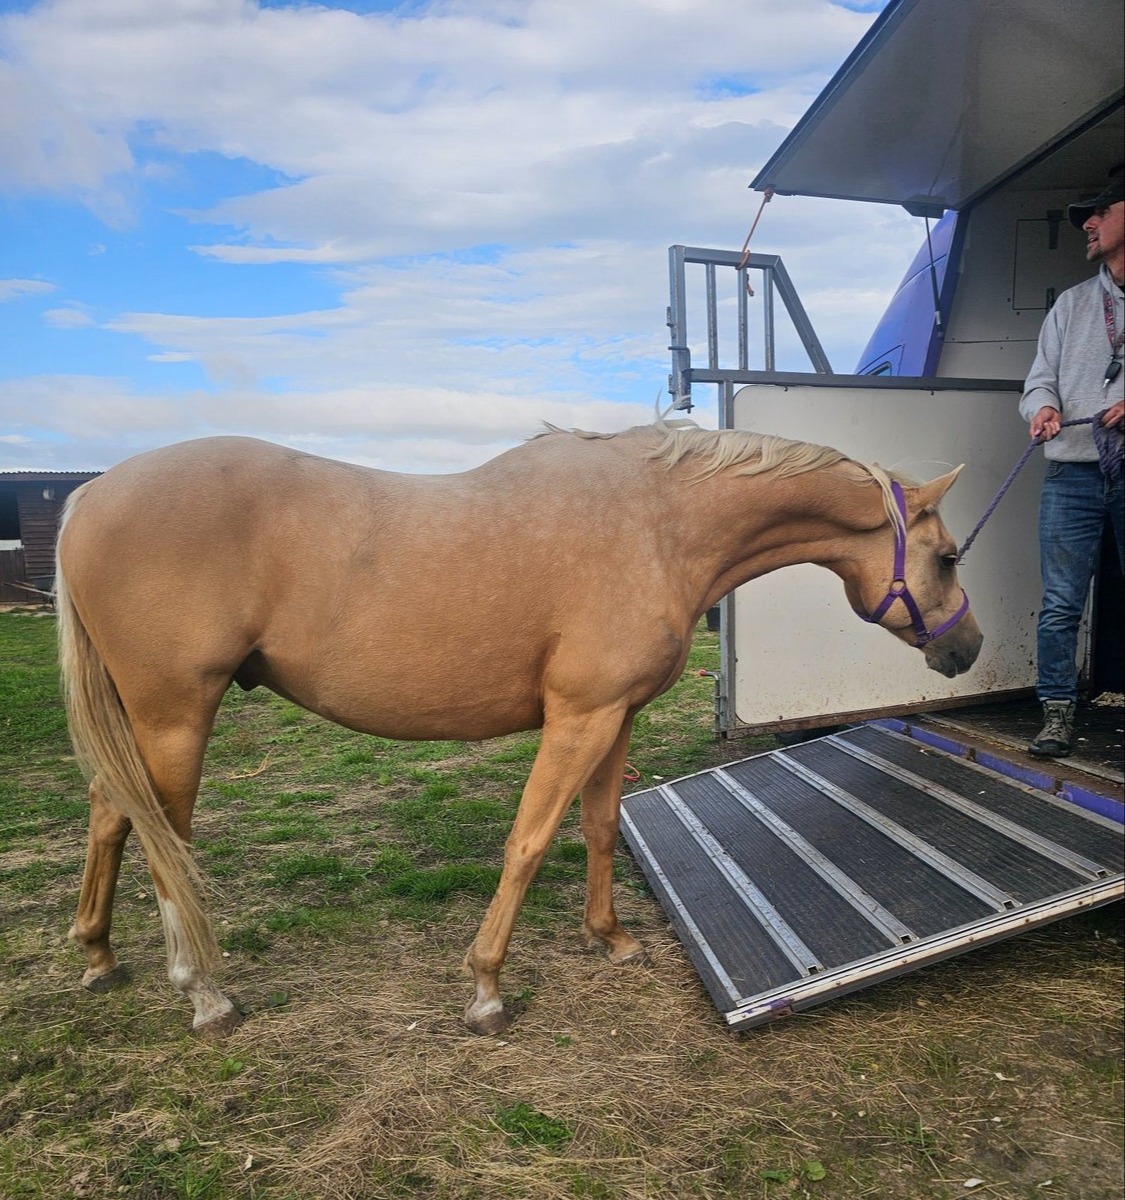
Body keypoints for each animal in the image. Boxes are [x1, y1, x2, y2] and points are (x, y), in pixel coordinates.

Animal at [55, 416, 982, 1038]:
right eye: (945, 558)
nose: (967, 649)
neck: (657, 523)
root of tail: (89, 493)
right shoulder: (579, 715)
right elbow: (529, 841)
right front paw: (486, 989)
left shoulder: (616, 716)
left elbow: (599, 826)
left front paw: (610, 939)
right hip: (176, 715)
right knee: (163, 842)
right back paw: (205, 993)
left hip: (142, 723)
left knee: (109, 814)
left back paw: (99, 957)